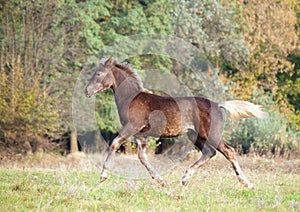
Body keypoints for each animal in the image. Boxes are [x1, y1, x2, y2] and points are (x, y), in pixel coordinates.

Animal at [85, 56, 266, 187]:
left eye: (99, 73)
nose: (87, 91)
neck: (131, 98)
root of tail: (217, 104)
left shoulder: (132, 126)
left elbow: (114, 143)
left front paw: (102, 176)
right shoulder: (140, 134)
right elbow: (142, 157)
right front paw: (161, 181)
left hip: (210, 133)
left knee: (228, 151)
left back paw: (246, 183)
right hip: (195, 135)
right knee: (209, 152)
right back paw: (185, 178)